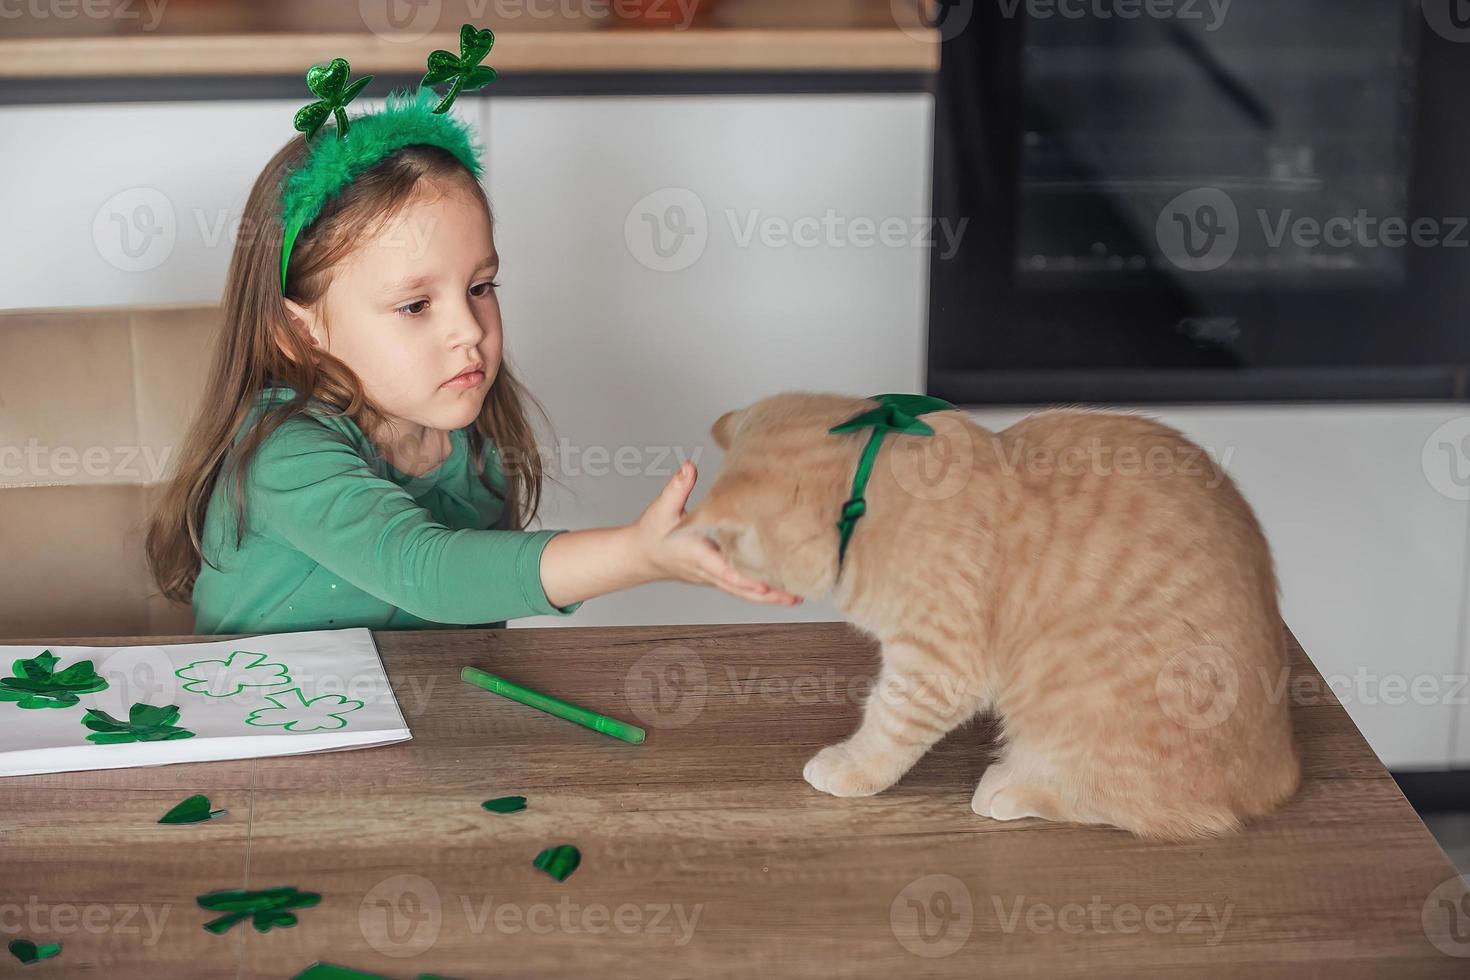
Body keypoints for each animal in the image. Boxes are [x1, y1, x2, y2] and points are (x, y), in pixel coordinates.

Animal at [676, 393, 1299, 840]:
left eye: (730, 548)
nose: (727, 570)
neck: (869, 492)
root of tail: (1280, 771)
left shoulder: (937, 665)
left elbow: (888, 724)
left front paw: (851, 767)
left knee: (1135, 805)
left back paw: (1013, 787)